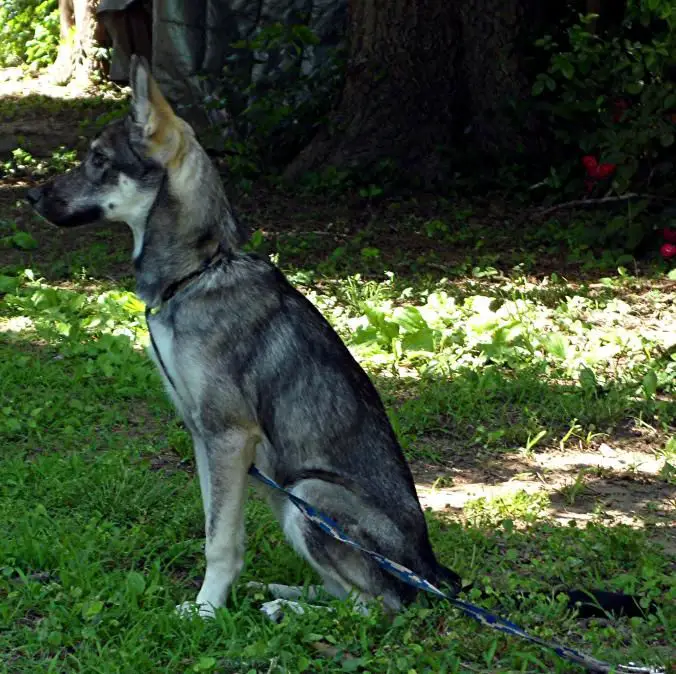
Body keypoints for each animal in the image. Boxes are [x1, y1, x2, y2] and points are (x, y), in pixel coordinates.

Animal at [26, 55, 648, 624]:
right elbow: (219, 530)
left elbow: (220, 542)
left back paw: (292, 609)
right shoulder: (207, 440)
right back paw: (281, 595)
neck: (201, 270)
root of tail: (435, 573)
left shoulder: (228, 436)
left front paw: (204, 610)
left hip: (310, 493)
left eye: (99, 161)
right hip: (283, 488)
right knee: (352, 594)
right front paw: (219, 600)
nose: (31, 198)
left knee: (383, 607)